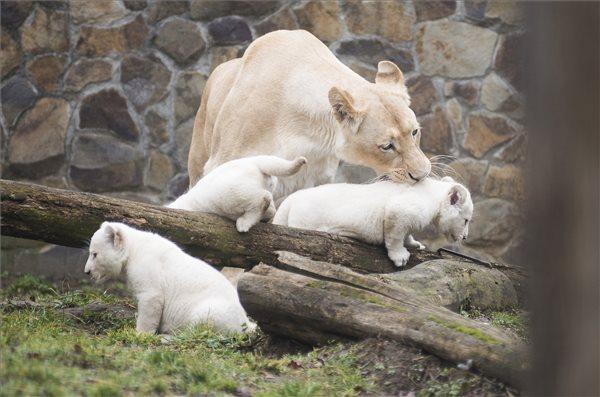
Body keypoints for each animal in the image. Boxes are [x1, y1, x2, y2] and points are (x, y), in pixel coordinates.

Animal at [190, 30, 428, 201]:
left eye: (414, 132)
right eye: (386, 146)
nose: (422, 175)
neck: (309, 134)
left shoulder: (319, 180)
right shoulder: (223, 161)